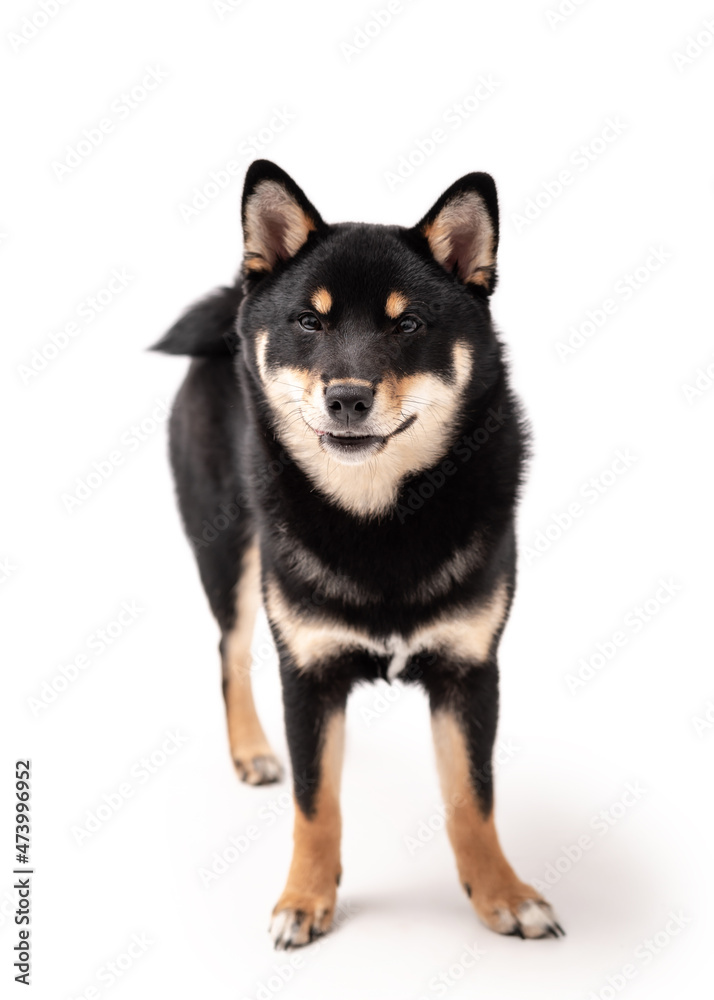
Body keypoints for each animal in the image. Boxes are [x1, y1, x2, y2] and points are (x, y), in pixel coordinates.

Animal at [153, 160, 564, 948]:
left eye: (407, 323)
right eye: (309, 322)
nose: (347, 398)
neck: (378, 517)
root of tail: (232, 302)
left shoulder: (470, 669)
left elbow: (473, 798)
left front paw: (501, 894)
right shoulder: (307, 671)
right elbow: (316, 804)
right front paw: (305, 899)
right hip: (231, 556)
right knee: (229, 651)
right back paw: (252, 750)